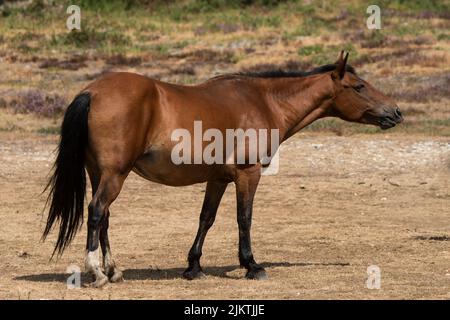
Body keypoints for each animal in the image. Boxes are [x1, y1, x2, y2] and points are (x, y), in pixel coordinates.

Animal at [43, 51, 400, 286]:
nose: (395, 112)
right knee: (96, 212)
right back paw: (97, 273)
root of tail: (92, 91)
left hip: (100, 174)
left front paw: (193, 267)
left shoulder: (217, 179)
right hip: (114, 175)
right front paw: (252, 265)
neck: (264, 101)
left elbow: (207, 218)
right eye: (359, 86)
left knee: (103, 217)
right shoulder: (247, 174)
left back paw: (114, 270)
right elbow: (244, 218)